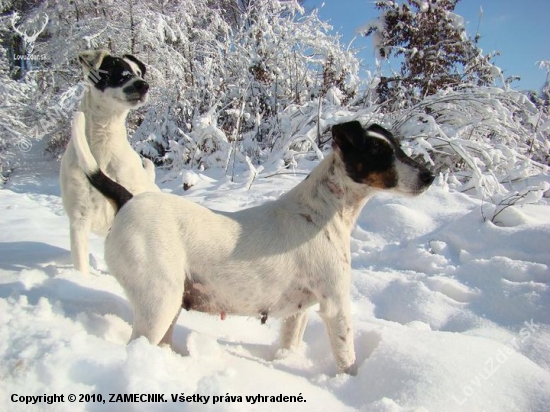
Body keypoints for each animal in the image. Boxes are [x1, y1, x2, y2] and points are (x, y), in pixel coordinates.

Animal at [69, 115, 434, 374]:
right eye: (379, 153)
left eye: (399, 147)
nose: (430, 175)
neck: (325, 210)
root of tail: (128, 200)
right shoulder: (336, 305)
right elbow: (347, 359)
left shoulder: (300, 310)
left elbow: (289, 343)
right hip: (158, 302)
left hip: (170, 305)